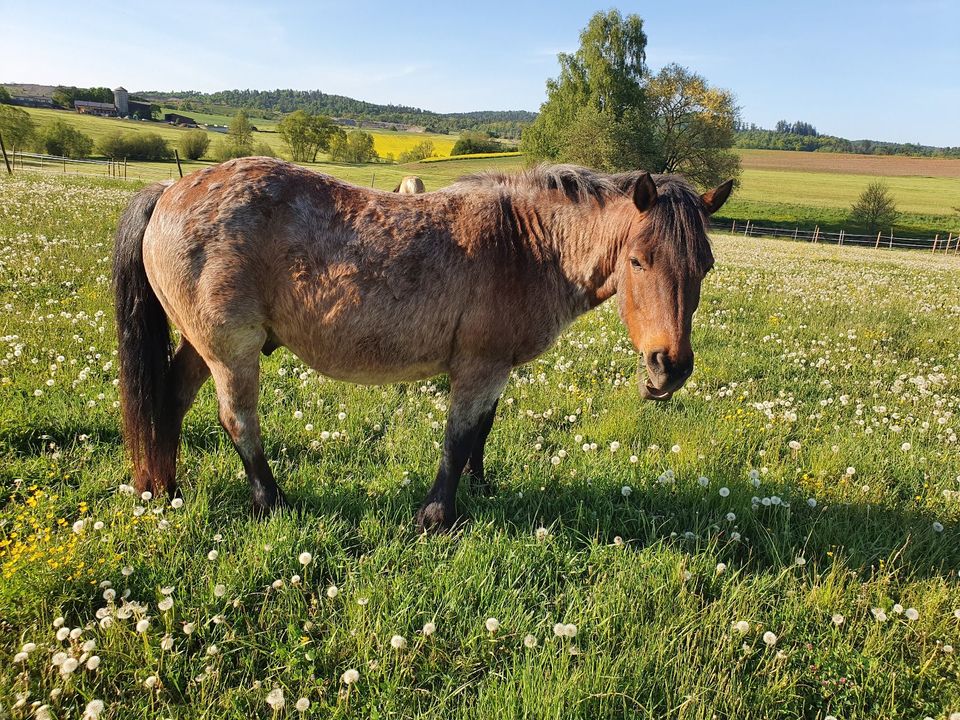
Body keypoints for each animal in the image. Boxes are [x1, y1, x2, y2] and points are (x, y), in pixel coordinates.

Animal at [112, 159, 732, 528]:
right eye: (639, 260)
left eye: (705, 264)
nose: (669, 368)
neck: (524, 243)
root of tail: (171, 189)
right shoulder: (478, 368)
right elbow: (457, 439)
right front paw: (438, 516)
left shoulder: (494, 370)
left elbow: (481, 433)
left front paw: (480, 489)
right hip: (231, 351)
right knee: (237, 420)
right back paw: (271, 502)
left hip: (201, 346)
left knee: (169, 400)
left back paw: (163, 487)